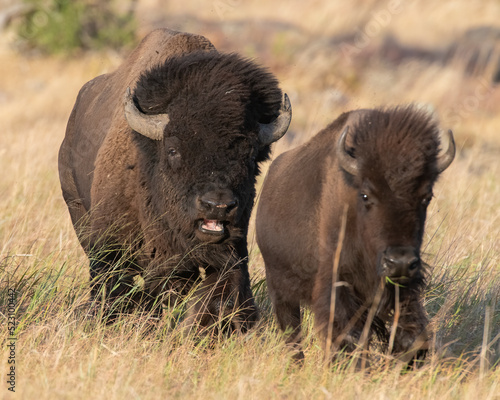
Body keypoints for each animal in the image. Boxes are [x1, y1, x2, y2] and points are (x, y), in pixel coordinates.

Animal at [59, 28, 292, 332]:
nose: (217, 205)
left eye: (250, 155)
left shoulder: (230, 254)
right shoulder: (110, 246)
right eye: (173, 150)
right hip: (78, 211)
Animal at [256, 106, 456, 362]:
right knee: (293, 336)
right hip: (281, 291)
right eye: (366, 195)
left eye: (426, 196)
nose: (399, 262)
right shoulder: (336, 283)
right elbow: (350, 337)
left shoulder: (402, 288)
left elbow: (410, 336)